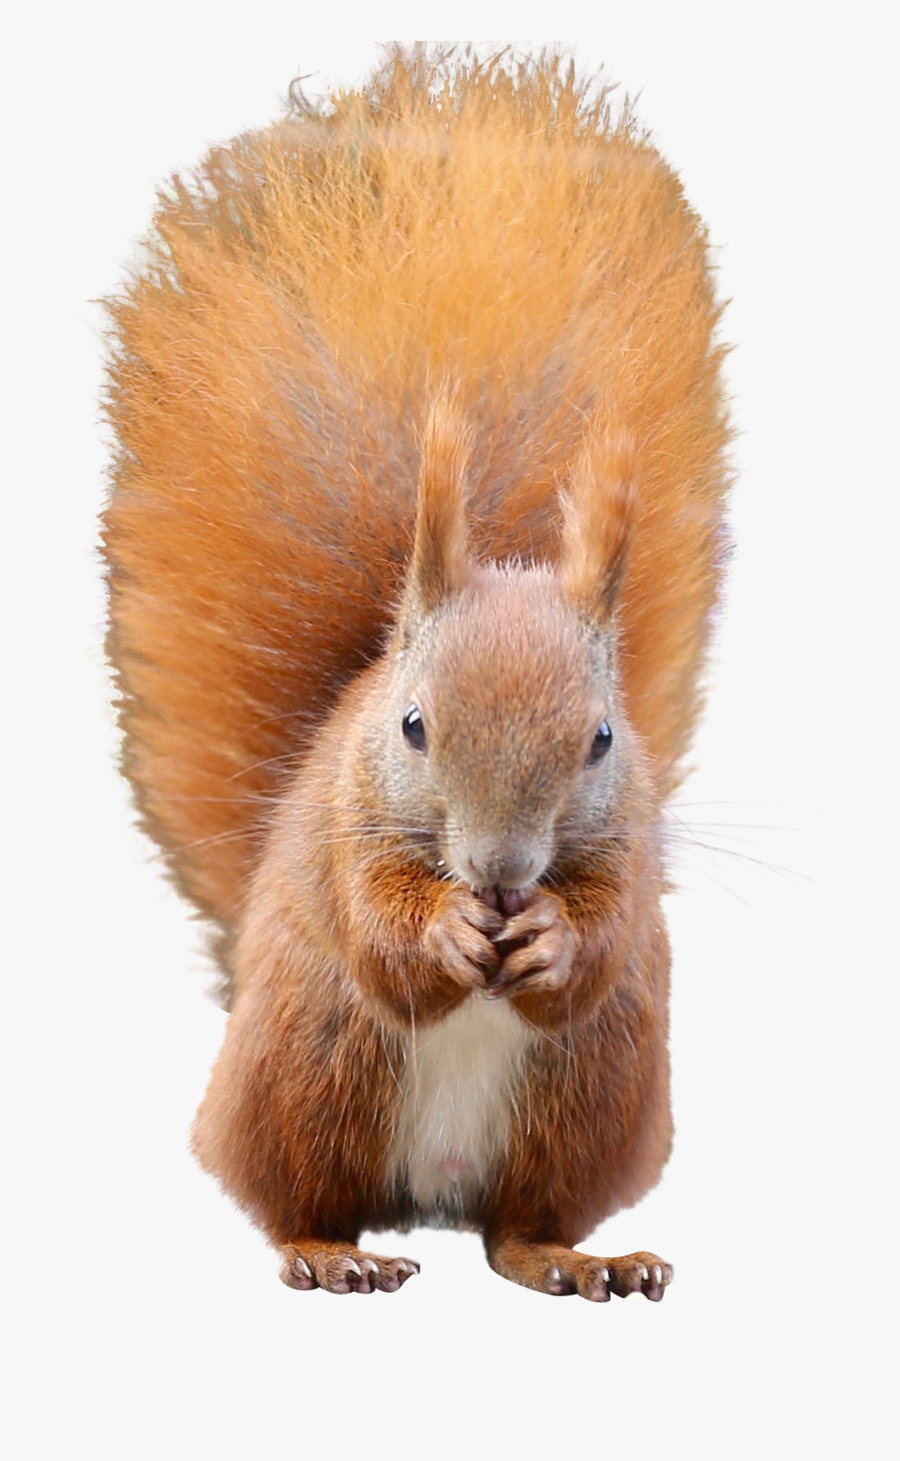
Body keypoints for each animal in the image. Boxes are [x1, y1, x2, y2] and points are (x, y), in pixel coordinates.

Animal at [101, 48, 730, 1300]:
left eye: (601, 737)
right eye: (412, 728)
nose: (500, 875)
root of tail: (429, 1195)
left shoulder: (628, 841)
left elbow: (601, 941)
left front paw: (551, 938)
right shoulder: (344, 829)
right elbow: (383, 935)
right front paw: (441, 934)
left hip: (583, 1096)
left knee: (514, 1232)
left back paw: (580, 1261)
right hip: (313, 1068)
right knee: (294, 1196)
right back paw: (329, 1256)